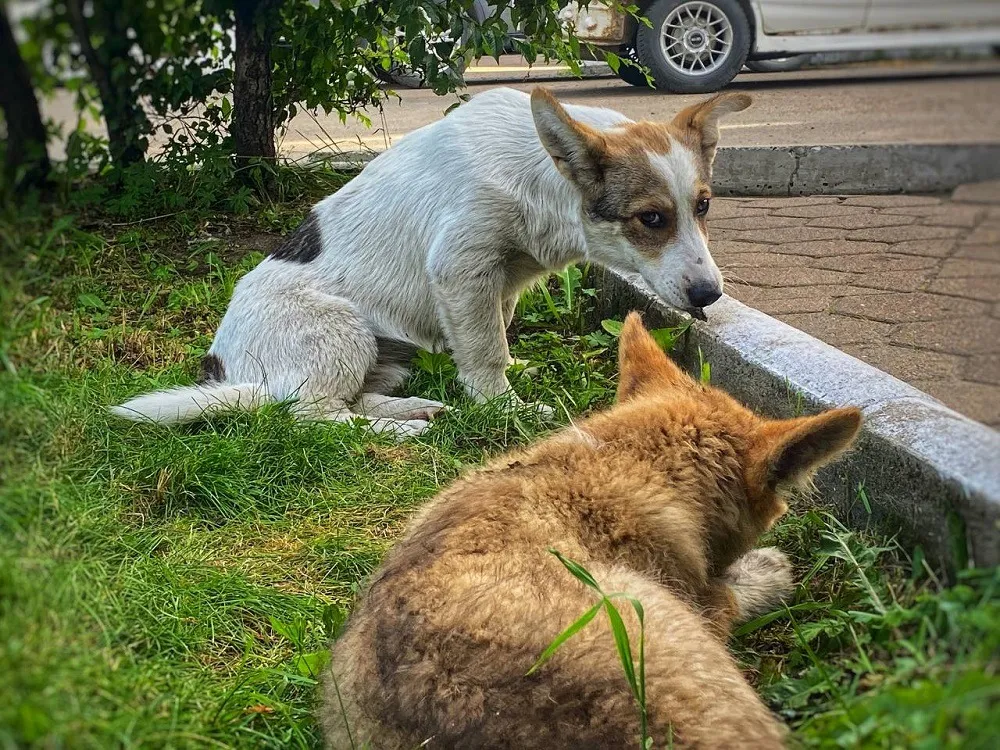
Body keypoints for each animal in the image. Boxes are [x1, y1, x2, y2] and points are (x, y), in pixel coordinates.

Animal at [111, 85, 752, 438]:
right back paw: (395, 431)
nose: (709, 296)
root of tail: (229, 371)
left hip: (384, 357)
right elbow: (487, 351)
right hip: (342, 333)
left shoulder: (499, 281)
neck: (540, 182)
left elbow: (495, 337)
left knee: (347, 399)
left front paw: (501, 379)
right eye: (651, 219)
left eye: (703, 205)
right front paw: (505, 408)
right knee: (310, 415)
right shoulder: (461, 269)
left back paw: (415, 408)